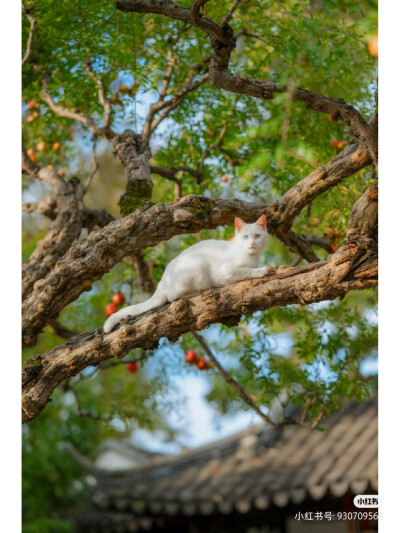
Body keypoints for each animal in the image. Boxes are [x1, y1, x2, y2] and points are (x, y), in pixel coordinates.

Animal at [104, 213, 270, 330]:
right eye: (245, 237)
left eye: (257, 236)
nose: (252, 243)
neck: (251, 256)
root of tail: (163, 279)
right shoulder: (227, 270)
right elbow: (246, 271)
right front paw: (261, 271)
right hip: (198, 268)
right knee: (172, 296)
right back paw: (197, 291)